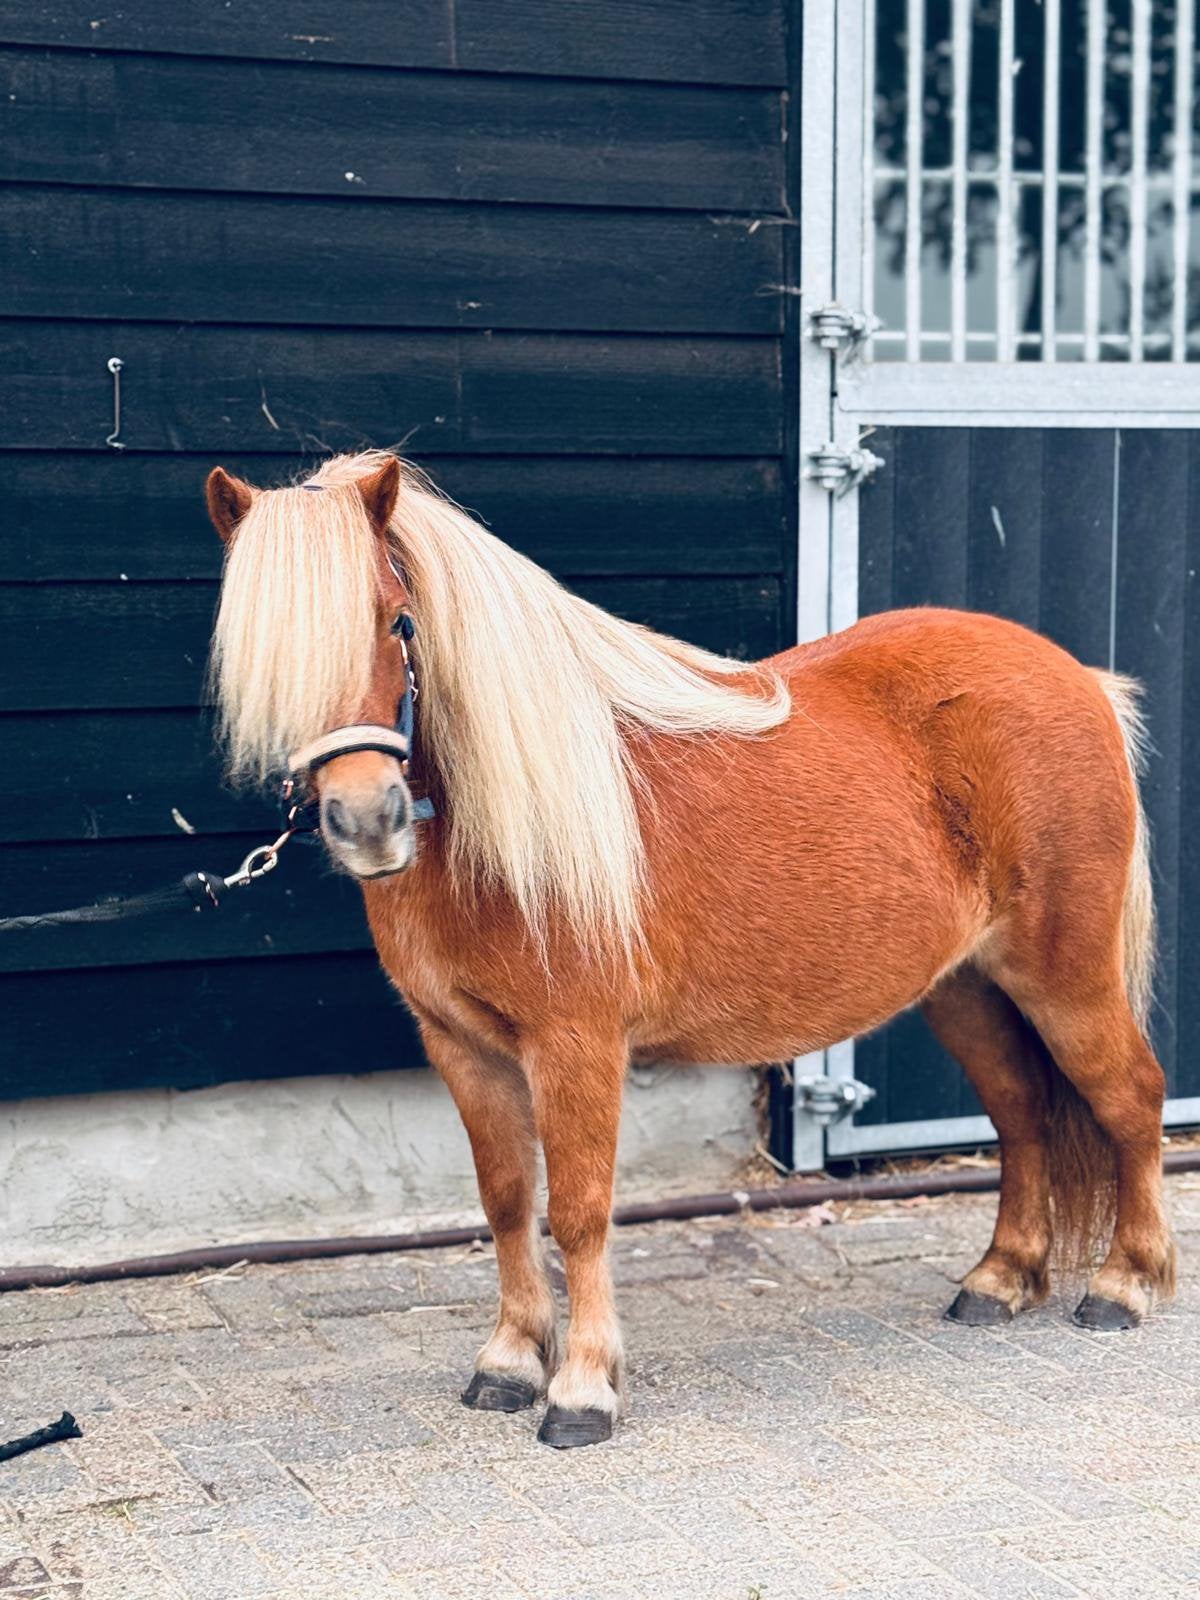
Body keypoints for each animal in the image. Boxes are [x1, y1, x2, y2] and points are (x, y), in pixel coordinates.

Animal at [205, 450, 1175, 1449]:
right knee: (1023, 1113)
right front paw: (509, 1363)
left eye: (397, 619)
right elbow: (508, 1201)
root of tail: (1076, 677)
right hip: (965, 988)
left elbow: (580, 1212)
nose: (369, 821)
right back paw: (1000, 1280)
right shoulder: (462, 1049)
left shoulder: (577, 1048)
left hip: (1063, 977)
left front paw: (583, 1388)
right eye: (260, 653)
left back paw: (1124, 1285)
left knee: (1130, 1099)